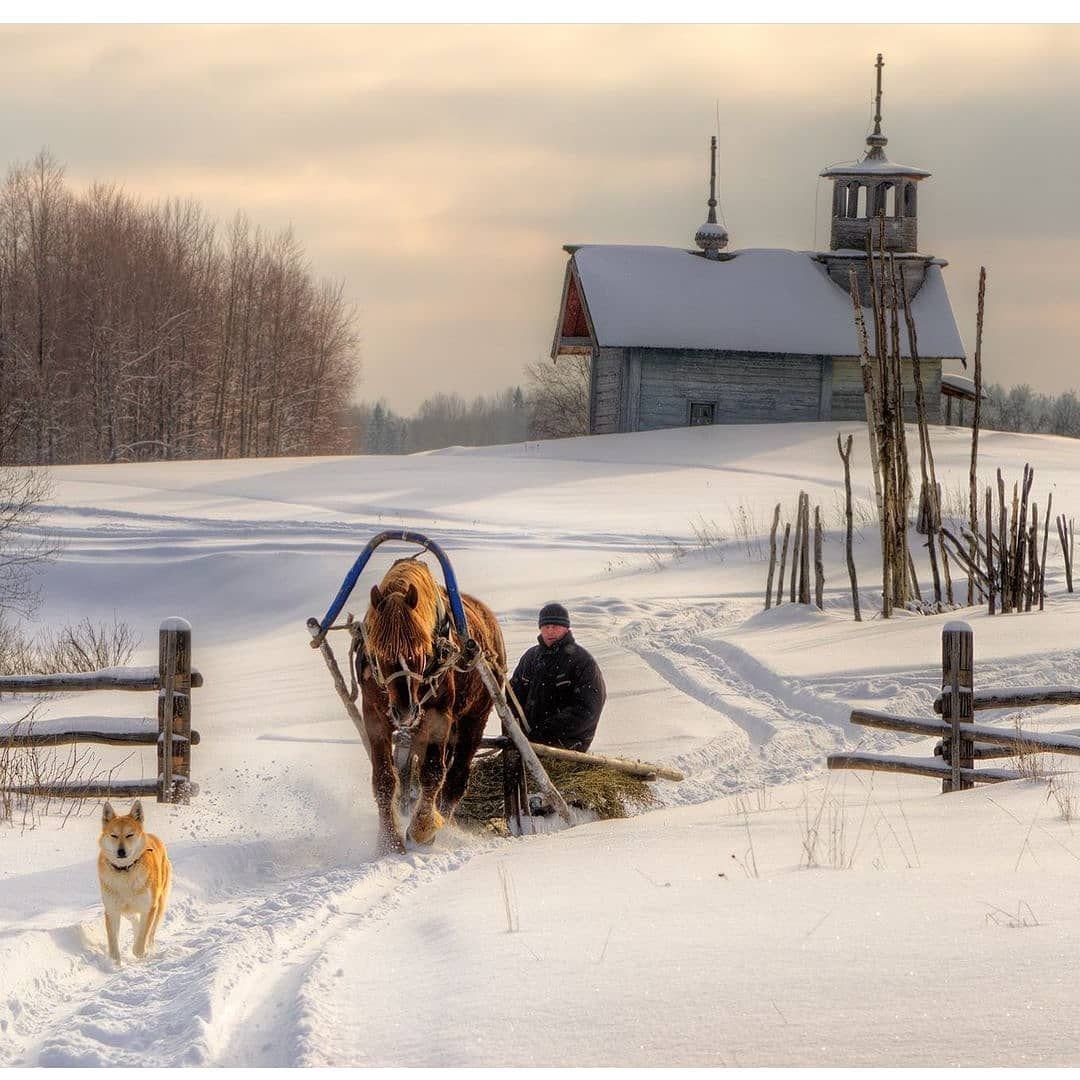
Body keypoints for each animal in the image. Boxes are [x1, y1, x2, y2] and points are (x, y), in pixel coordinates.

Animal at [97, 803, 170, 963]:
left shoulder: (149, 908)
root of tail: (152, 836)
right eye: (114, 835)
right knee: (135, 920)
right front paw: (115, 963)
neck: (125, 871)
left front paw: (142, 952)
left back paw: (149, 946)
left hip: (160, 903)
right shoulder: (112, 910)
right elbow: (113, 946)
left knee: (151, 932)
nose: (121, 851)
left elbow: (141, 940)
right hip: (125, 909)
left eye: (129, 835)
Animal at [356, 557, 503, 851]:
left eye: (419, 653)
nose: (405, 710)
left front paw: (422, 828)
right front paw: (388, 841)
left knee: (456, 777)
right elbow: (384, 779)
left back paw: (442, 823)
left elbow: (433, 773)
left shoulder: (437, 716)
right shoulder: (375, 716)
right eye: (380, 653)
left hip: (473, 718)